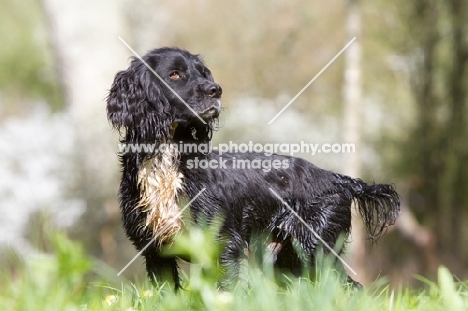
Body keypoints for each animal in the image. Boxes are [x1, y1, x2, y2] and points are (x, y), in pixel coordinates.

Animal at [108, 46, 400, 290]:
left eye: (203, 72)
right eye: (175, 74)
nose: (215, 90)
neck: (168, 162)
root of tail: (337, 178)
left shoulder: (223, 245)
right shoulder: (156, 252)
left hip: (313, 248)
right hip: (285, 257)